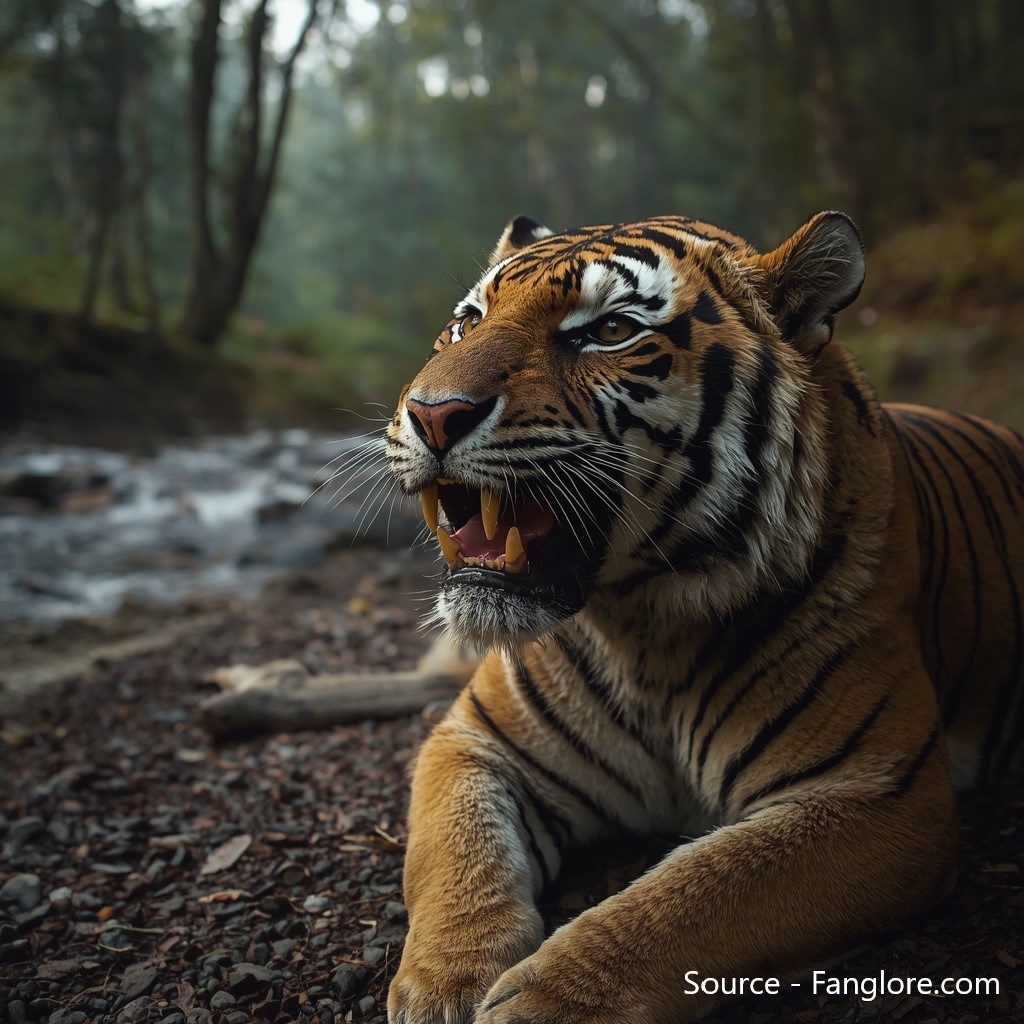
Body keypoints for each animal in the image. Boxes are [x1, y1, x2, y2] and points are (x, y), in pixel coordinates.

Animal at [382, 210, 1024, 1024]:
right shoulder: (473, 741)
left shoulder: (876, 795)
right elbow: (456, 857)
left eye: (610, 330)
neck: (642, 623)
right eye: (467, 322)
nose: (432, 415)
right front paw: (445, 984)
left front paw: (544, 1002)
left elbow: (688, 899)